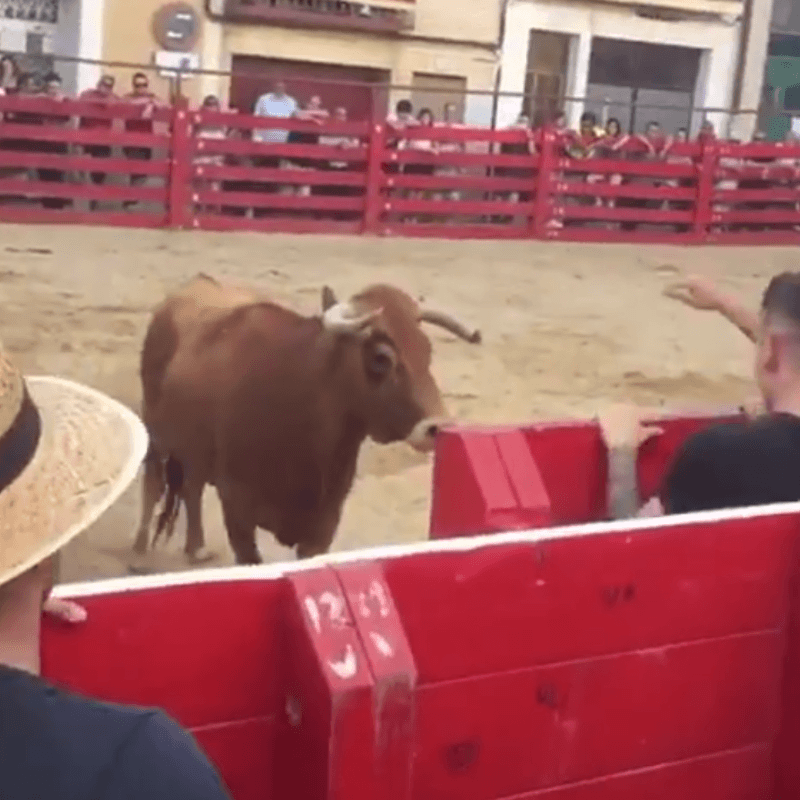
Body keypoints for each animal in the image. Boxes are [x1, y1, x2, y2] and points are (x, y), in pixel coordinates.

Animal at [134, 274, 482, 564]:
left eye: (427, 349)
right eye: (381, 357)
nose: (438, 427)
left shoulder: (323, 525)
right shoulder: (237, 510)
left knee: (191, 487)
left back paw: (196, 548)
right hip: (154, 431)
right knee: (154, 481)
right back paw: (139, 551)